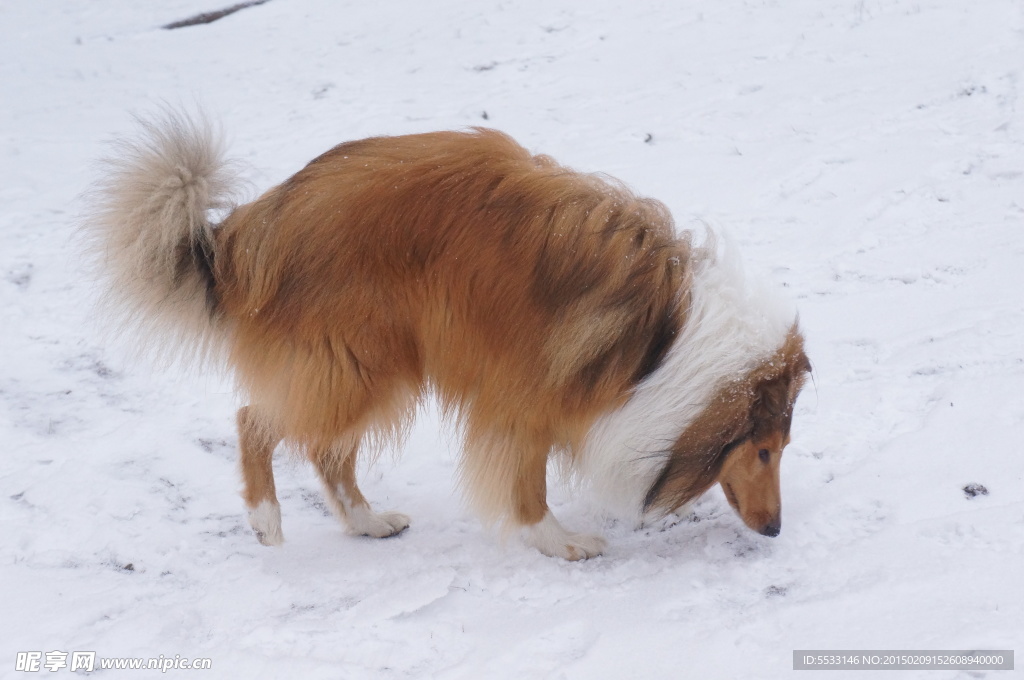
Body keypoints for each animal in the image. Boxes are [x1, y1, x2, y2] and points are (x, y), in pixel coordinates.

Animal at [86, 111, 806, 557]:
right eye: (765, 451)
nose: (776, 530)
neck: (669, 340)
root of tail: (251, 226)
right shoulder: (527, 396)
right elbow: (527, 483)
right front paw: (559, 542)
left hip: (374, 366)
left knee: (326, 452)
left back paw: (367, 522)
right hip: (357, 363)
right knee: (256, 421)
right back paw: (266, 519)